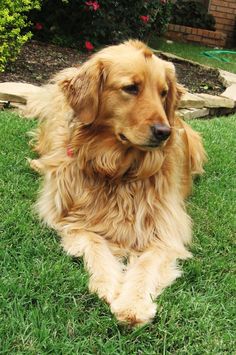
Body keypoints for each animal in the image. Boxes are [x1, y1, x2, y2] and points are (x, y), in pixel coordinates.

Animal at [25, 40, 206, 326]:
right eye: (131, 88)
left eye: (164, 93)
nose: (164, 133)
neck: (116, 170)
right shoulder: (72, 220)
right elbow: (95, 245)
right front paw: (109, 284)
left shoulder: (165, 233)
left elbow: (146, 264)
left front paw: (133, 303)